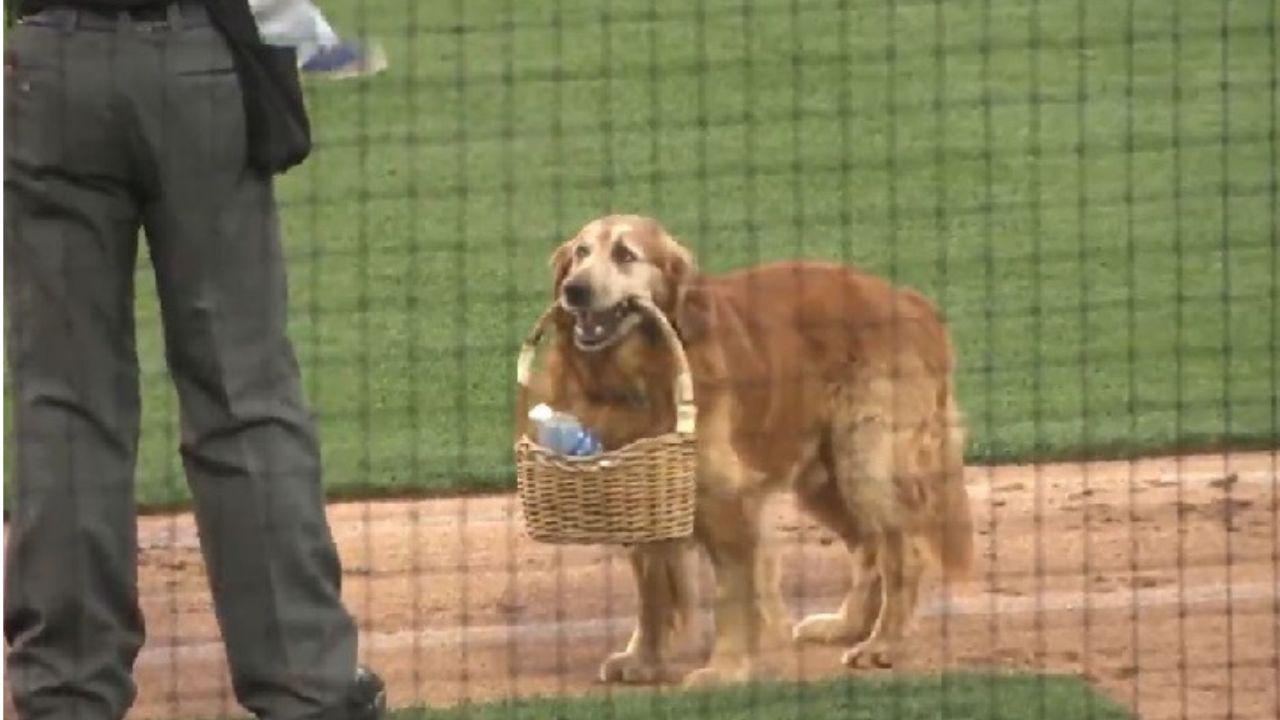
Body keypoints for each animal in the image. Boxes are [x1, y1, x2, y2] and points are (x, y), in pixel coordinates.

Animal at [512, 211, 967, 681]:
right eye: (581, 253)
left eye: (625, 255)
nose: (574, 289)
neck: (636, 377)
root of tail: (912, 301)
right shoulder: (641, 497)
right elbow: (652, 589)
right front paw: (644, 659)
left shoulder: (728, 503)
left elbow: (731, 595)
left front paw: (725, 668)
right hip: (825, 480)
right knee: (869, 549)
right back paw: (846, 626)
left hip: (867, 465)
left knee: (904, 555)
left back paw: (882, 643)